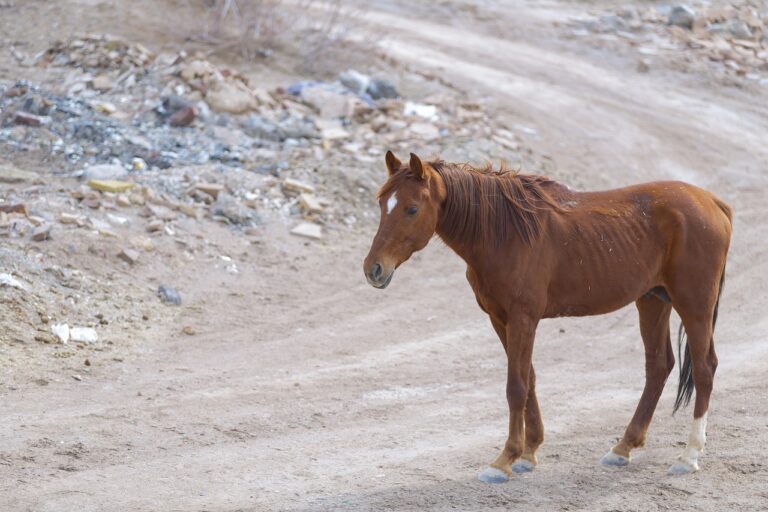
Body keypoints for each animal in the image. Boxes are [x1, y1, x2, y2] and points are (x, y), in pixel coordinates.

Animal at [362, 150, 732, 482]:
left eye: (411, 208)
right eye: (382, 205)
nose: (373, 269)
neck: (504, 232)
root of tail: (712, 202)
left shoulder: (523, 318)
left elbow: (516, 386)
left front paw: (504, 460)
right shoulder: (500, 319)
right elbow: (530, 379)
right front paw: (529, 452)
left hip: (693, 304)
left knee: (704, 369)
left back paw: (689, 456)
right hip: (653, 301)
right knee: (658, 366)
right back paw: (622, 448)